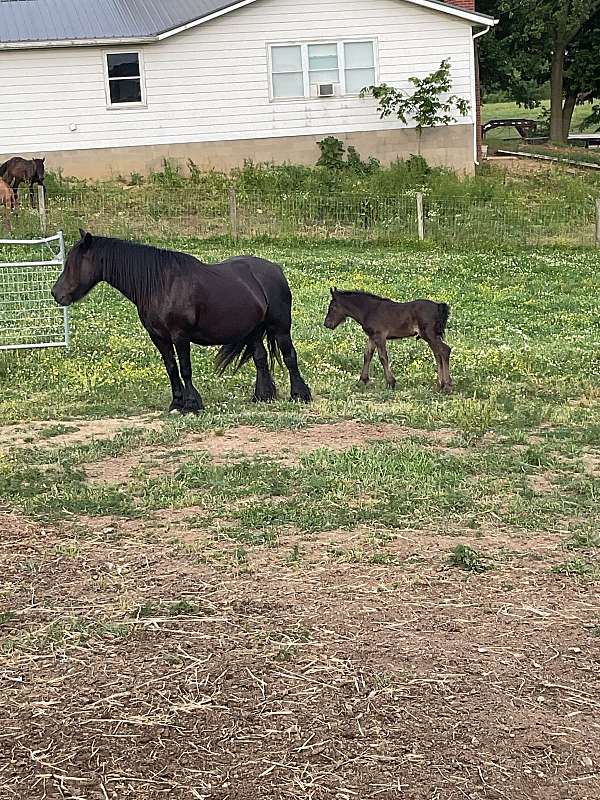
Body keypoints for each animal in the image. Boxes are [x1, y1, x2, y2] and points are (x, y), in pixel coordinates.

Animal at [51, 231, 312, 413]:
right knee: (260, 358)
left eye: (74, 264)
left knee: (289, 357)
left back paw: (300, 395)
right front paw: (176, 403)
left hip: (280, 327)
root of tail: (275, 269)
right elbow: (171, 368)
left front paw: (192, 404)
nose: (56, 294)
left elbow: (185, 368)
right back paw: (262, 396)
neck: (161, 284)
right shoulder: (158, 337)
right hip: (253, 331)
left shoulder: (180, 335)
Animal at [324, 288, 453, 393]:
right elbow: (367, 355)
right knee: (438, 354)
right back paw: (440, 384)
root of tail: (438, 306)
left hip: (429, 334)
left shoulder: (380, 336)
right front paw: (362, 380)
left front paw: (391, 382)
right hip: (430, 336)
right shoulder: (372, 337)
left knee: (444, 350)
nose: (327, 324)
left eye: (332, 307)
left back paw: (447, 385)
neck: (369, 310)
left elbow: (383, 357)